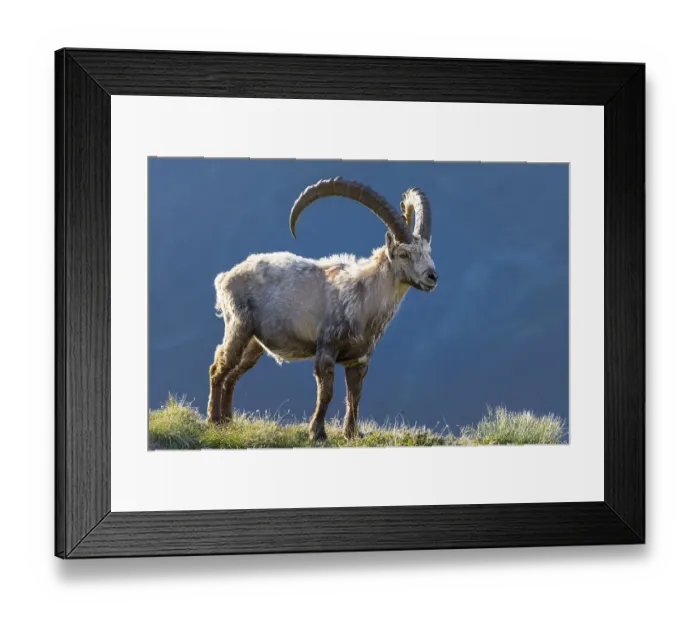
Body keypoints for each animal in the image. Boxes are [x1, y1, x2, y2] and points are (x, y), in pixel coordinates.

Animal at [207, 177, 438, 441]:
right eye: (404, 254)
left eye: (428, 252)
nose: (432, 277)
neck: (363, 298)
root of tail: (225, 277)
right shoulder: (326, 350)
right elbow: (326, 393)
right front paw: (317, 433)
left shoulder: (359, 360)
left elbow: (354, 396)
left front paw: (352, 434)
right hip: (239, 325)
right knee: (218, 366)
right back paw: (213, 419)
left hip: (255, 343)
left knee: (232, 374)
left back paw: (227, 420)